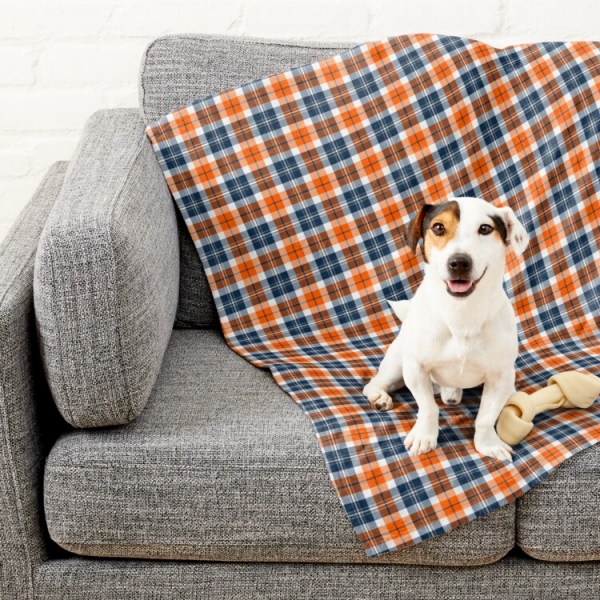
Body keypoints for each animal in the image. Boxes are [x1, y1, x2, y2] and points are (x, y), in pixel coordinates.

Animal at [364, 196, 528, 460]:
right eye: (438, 228)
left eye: (485, 228)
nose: (459, 262)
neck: (461, 314)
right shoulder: (416, 368)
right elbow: (428, 408)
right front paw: (424, 437)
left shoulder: (500, 376)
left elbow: (486, 417)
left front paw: (488, 444)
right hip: (397, 364)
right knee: (374, 383)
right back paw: (379, 396)